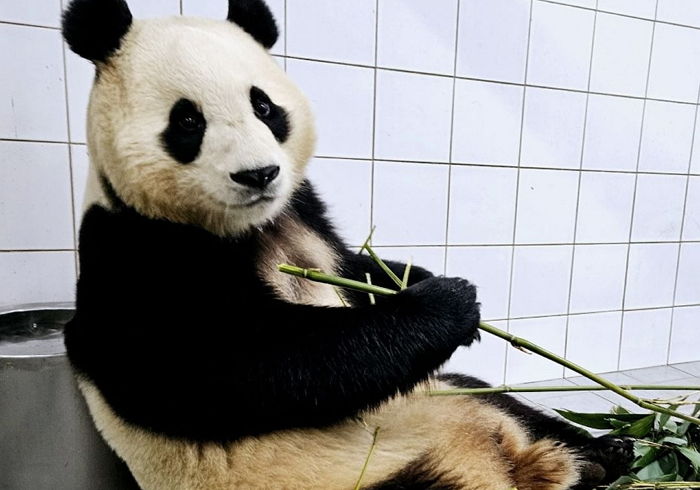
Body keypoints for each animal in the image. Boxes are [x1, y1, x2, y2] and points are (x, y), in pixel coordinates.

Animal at [63, 0, 636, 488]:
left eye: (264, 106)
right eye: (187, 120)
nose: (259, 174)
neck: (251, 225)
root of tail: (509, 460)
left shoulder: (303, 210)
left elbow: (355, 269)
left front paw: (426, 283)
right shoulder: (138, 257)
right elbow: (258, 365)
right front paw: (448, 303)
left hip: (448, 394)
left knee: (507, 402)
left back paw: (603, 453)